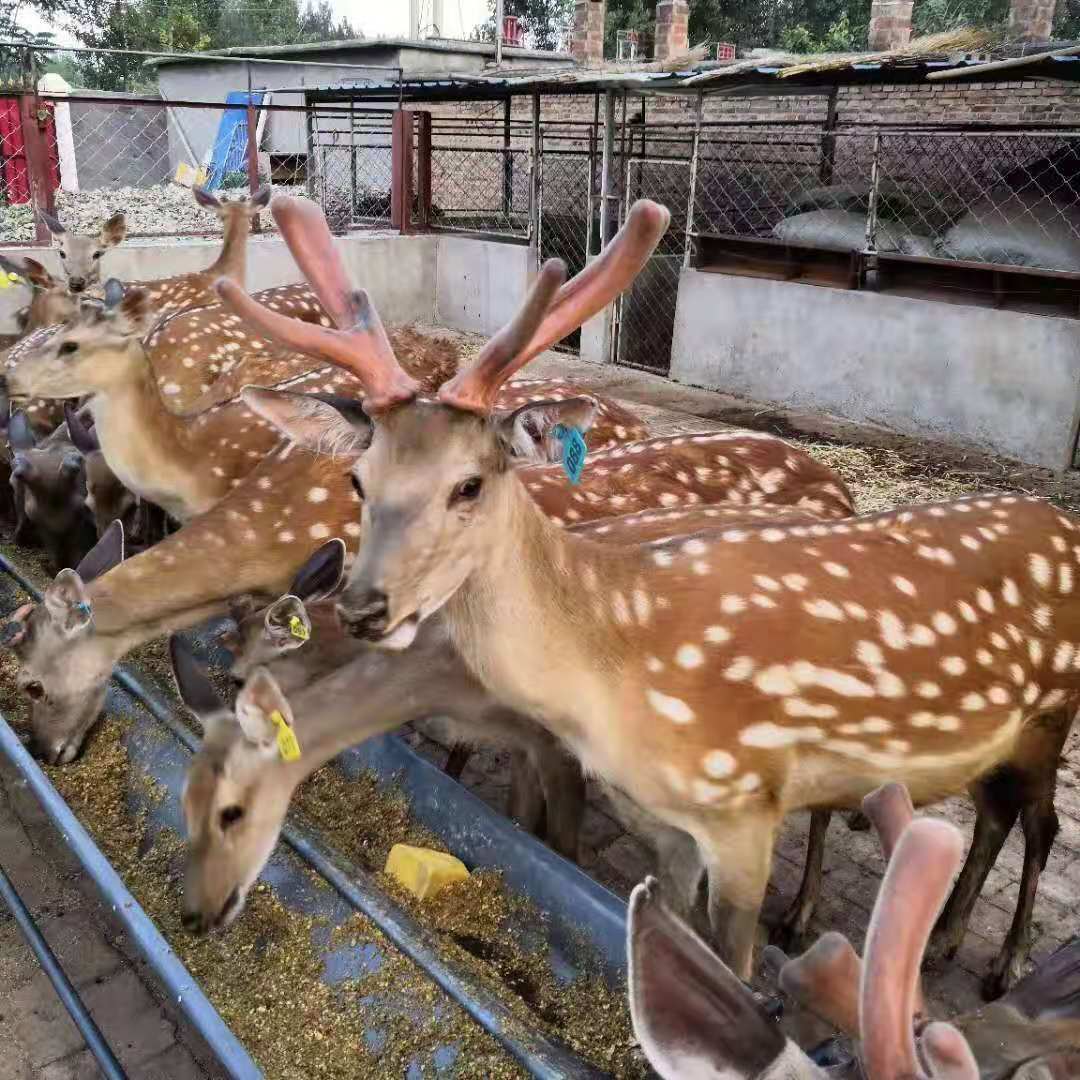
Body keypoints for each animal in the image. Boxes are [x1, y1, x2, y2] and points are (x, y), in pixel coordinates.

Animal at [217, 190, 1080, 984]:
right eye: (358, 480)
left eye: (469, 484)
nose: (365, 606)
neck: (620, 666)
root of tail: (1062, 524)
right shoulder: (664, 823)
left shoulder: (742, 806)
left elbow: (730, 961)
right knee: (994, 813)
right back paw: (942, 940)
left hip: (1054, 711)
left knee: (1040, 826)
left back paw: (1000, 962)